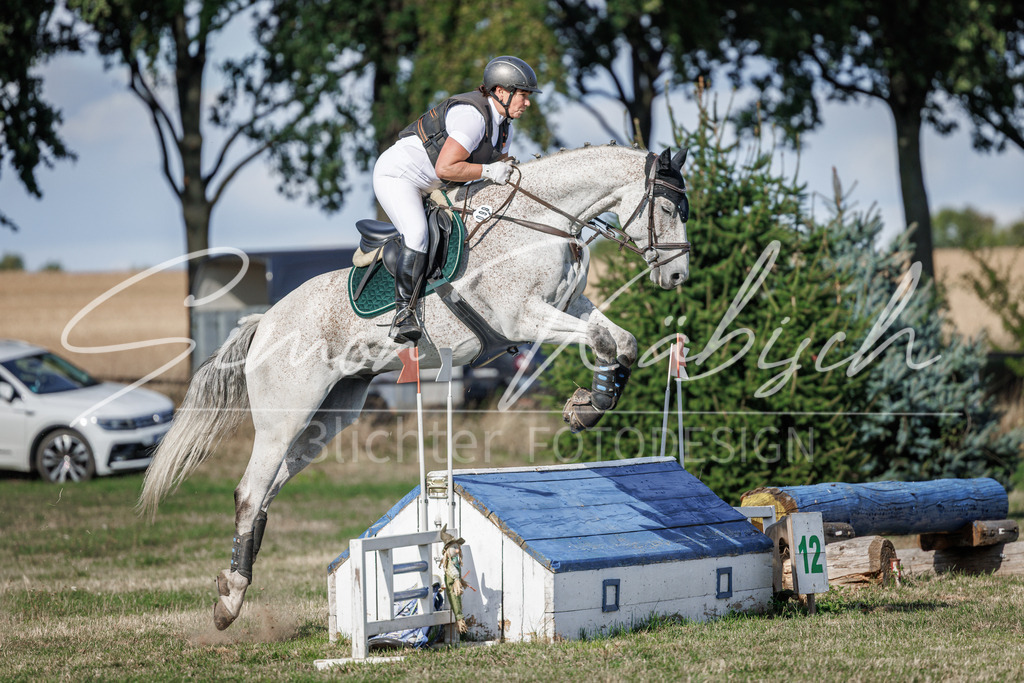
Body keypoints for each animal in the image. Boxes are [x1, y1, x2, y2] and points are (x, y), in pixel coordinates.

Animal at [138, 143, 691, 630]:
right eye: (667, 207)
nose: (679, 276)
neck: (539, 223)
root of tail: (263, 323)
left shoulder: (568, 306)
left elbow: (621, 341)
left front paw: (588, 406)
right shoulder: (523, 317)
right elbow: (603, 339)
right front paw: (588, 406)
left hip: (327, 419)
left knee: (268, 492)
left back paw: (233, 587)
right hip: (284, 417)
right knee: (250, 492)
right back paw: (230, 602)